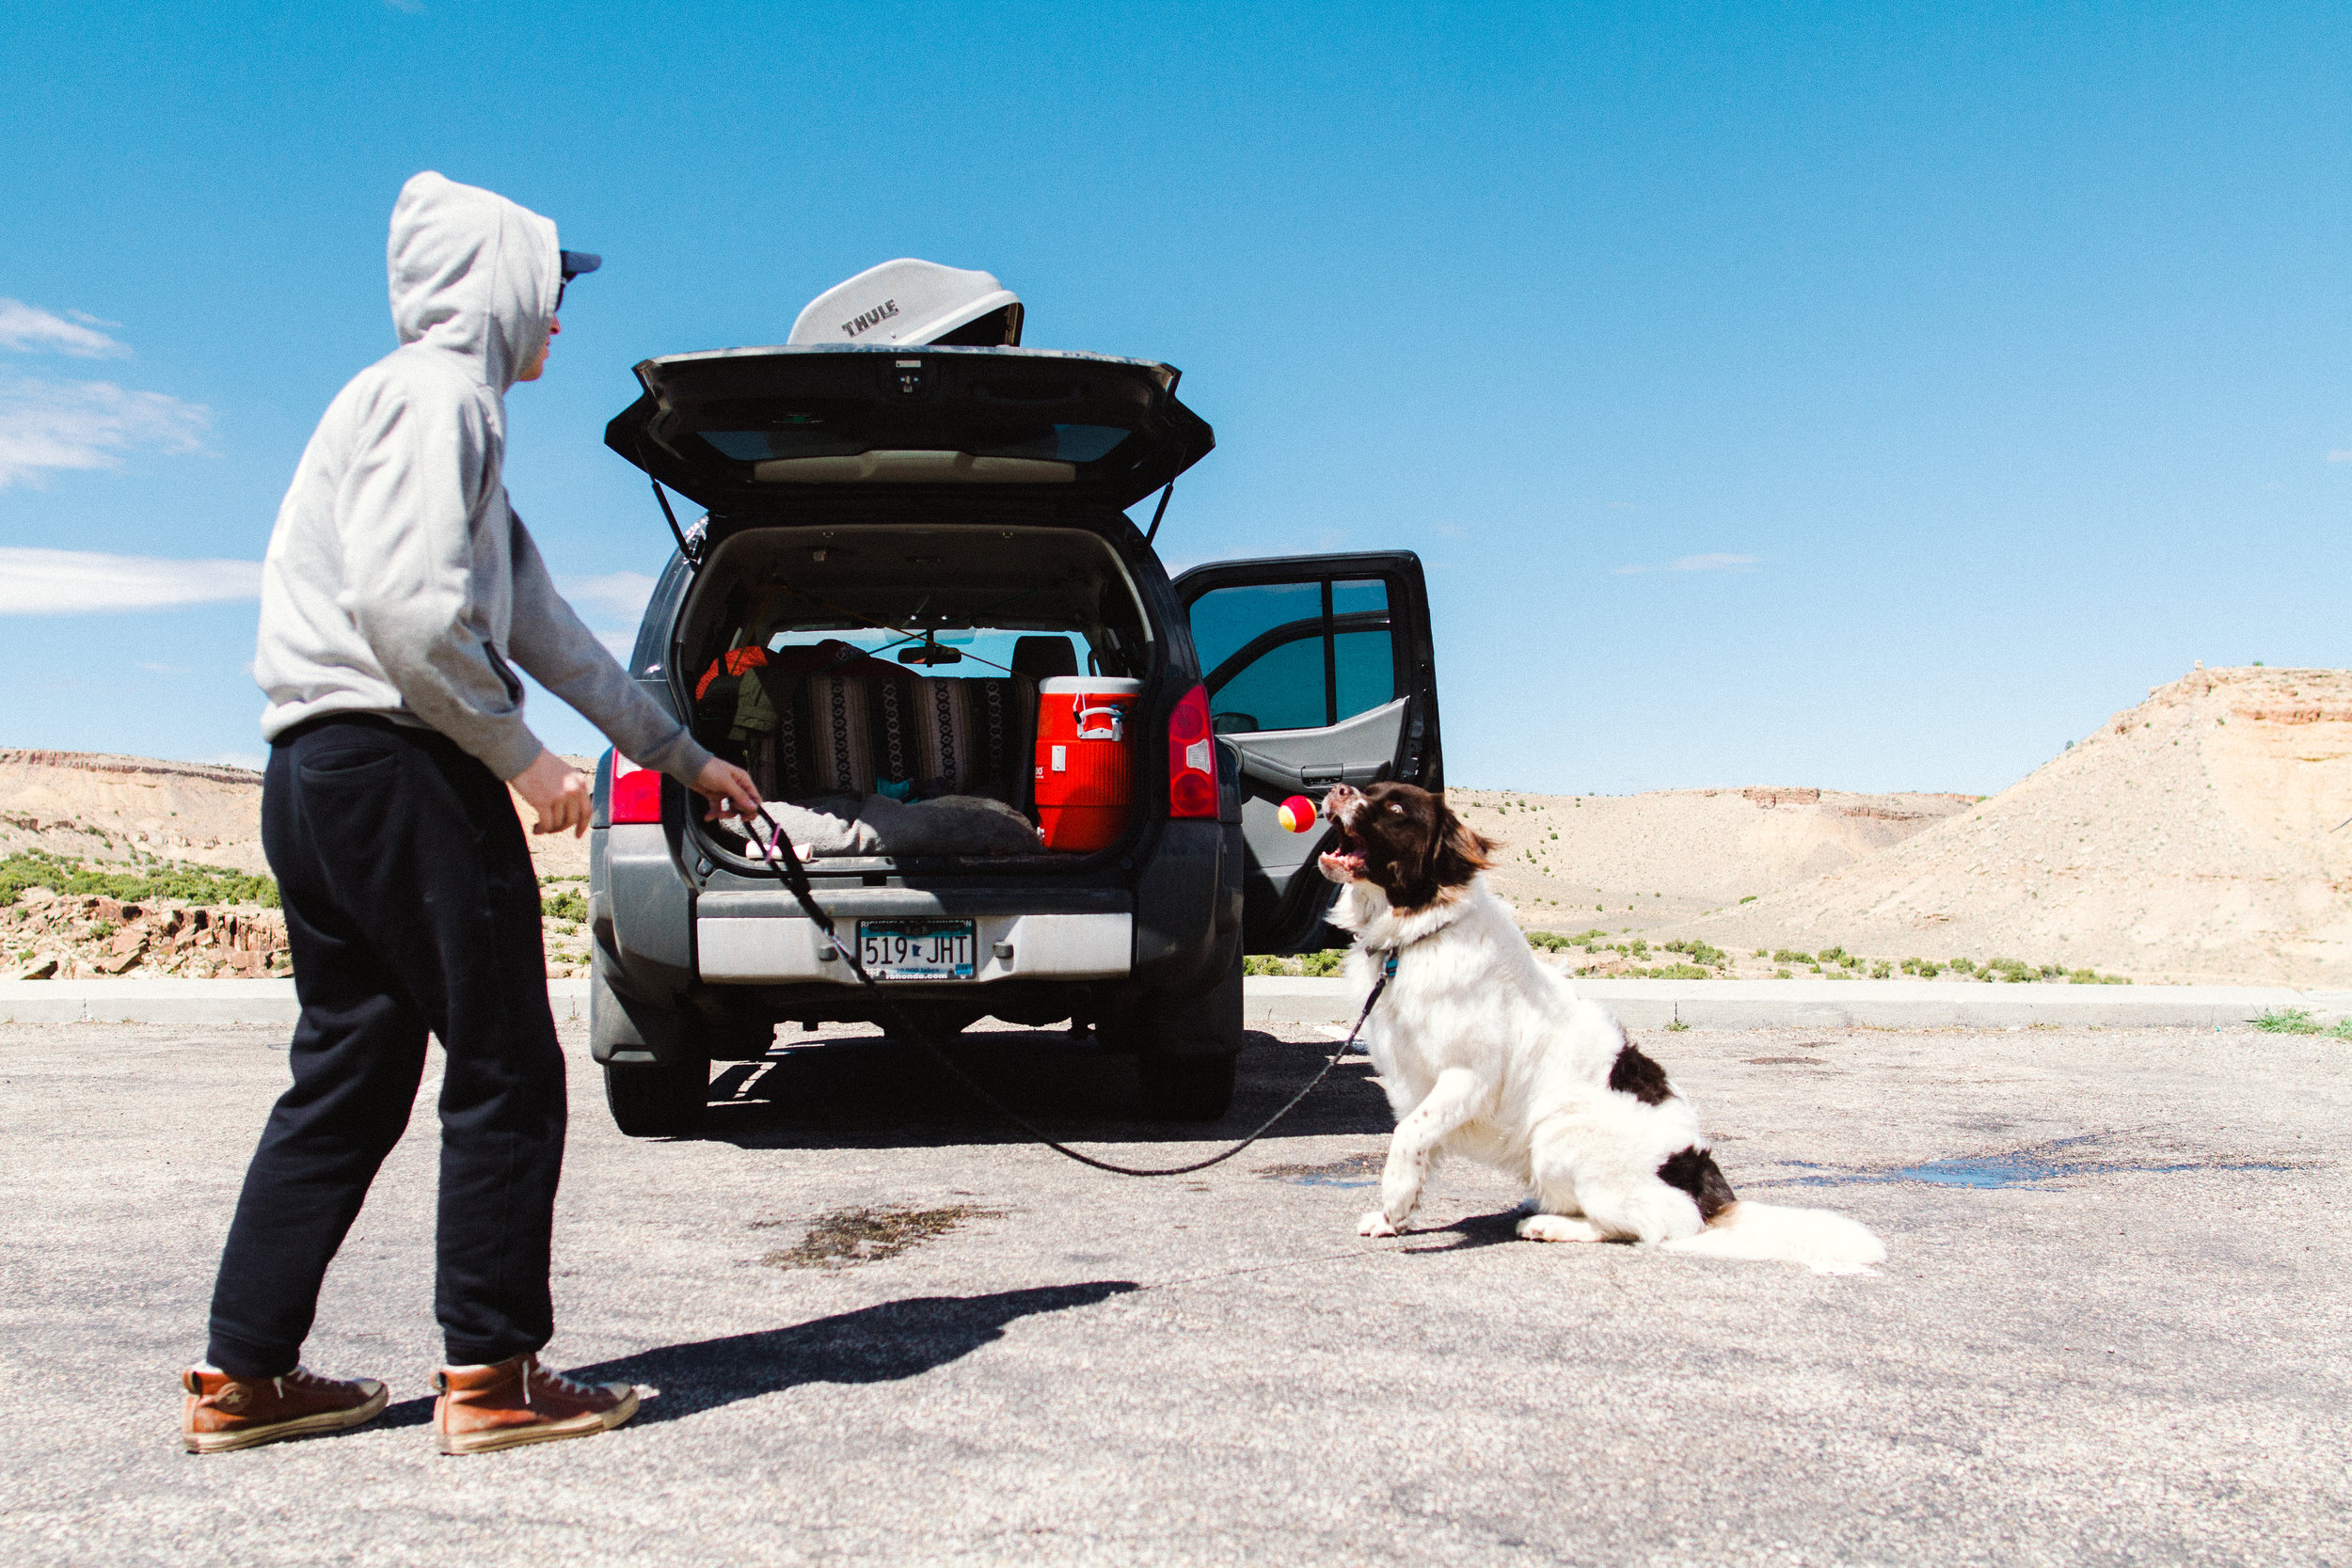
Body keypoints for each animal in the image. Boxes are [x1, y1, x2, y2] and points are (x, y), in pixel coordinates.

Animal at [1327, 780, 1891, 1278]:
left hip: (1558, 1131)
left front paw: (1394, 1200)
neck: (1417, 933)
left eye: (1396, 809)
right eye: (1370, 790)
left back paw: (1550, 1224)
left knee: (1645, 1225)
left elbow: (1407, 1134)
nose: (1336, 789)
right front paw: (1395, 1216)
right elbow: (1417, 1141)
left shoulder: (1468, 1075)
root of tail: (1703, 1191)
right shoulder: (1413, 1081)